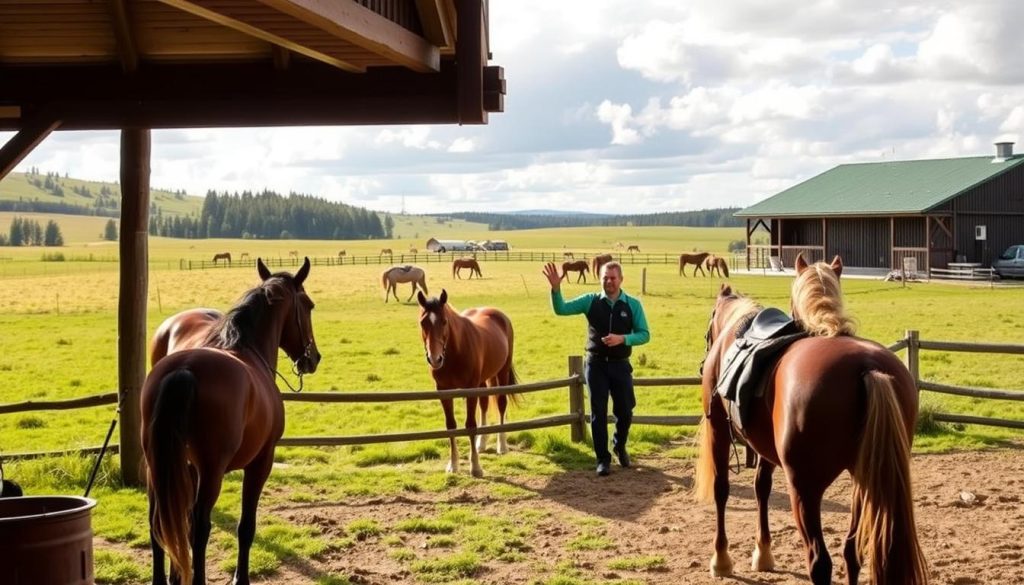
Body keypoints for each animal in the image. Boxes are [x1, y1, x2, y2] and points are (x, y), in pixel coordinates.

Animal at [138, 258, 317, 585]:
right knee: (199, 526)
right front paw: (240, 578)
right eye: (309, 305)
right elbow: (246, 526)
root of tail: (185, 369)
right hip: (211, 471)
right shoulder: (261, 462)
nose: (313, 358)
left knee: (160, 521)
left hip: (159, 465)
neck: (248, 350)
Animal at [413, 290, 516, 477]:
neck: (456, 351)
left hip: (502, 372)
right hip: (482, 381)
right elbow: (451, 425)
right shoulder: (444, 392)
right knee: (484, 405)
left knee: (501, 403)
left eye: (444, 321)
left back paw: (502, 445)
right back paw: (481, 443)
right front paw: (453, 465)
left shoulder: (470, 390)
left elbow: (470, 425)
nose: (435, 359)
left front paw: (475, 467)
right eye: (423, 322)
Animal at [696, 260, 929, 585]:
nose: (703, 363)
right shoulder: (766, 449)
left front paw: (721, 559)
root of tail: (868, 368)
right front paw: (763, 553)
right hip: (865, 479)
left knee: (820, 561)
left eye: (708, 329)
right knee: (852, 551)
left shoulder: (718, 428)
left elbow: (722, 489)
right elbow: (762, 488)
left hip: (805, 489)